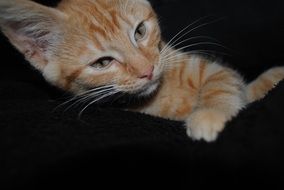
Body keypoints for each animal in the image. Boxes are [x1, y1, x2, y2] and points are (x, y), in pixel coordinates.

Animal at [0, 0, 284, 142]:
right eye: (102, 63)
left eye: (140, 31)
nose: (147, 70)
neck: (163, 90)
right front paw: (208, 116)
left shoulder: (205, 69)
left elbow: (226, 83)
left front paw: (211, 112)